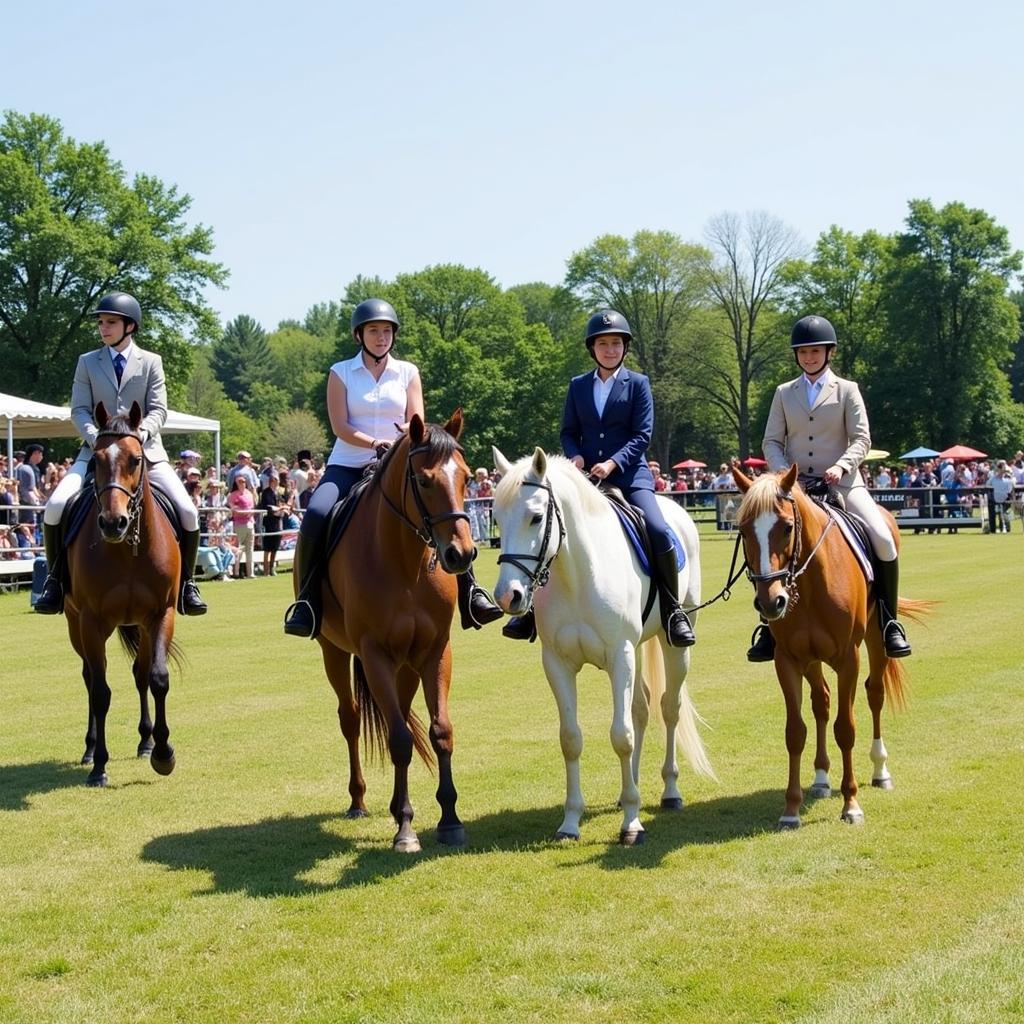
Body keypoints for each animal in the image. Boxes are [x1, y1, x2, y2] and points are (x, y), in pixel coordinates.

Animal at [65, 403, 182, 786]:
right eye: (96, 460)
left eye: (135, 459)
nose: (113, 522)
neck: (127, 549)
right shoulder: (90, 621)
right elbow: (101, 691)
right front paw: (99, 766)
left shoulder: (160, 614)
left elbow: (158, 678)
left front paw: (163, 753)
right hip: (75, 624)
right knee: (90, 678)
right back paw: (90, 750)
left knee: (140, 672)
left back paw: (146, 742)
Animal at [305, 411, 477, 851]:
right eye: (425, 481)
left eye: (467, 477)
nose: (461, 554)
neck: (404, 562)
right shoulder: (373, 653)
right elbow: (399, 739)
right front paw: (405, 829)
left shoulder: (435, 650)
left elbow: (439, 732)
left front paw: (449, 820)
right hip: (334, 651)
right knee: (351, 720)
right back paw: (359, 801)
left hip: (406, 665)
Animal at [491, 444, 716, 843]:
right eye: (498, 520)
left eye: (536, 517)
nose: (508, 596)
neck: (578, 573)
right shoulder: (557, 664)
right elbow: (571, 739)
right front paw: (570, 822)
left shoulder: (620, 657)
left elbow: (621, 735)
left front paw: (632, 824)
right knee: (641, 708)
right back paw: (632, 788)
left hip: (674, 646)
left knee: (668, 709)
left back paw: (669, 791)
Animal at [729, 468, 929, 827]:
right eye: (744, 529)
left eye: (787, 527)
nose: (771, 602)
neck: (808, 584)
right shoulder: (788, 660)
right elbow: (795, 732)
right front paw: (791, 810)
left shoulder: (848, 658)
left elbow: (845, 728)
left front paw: (851, 804)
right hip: (811, 659)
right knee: (821, 702)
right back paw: (821, 779)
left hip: (875, 640)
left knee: (874, 694)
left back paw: (880, 770)